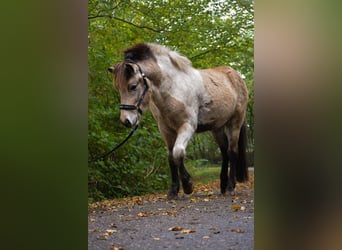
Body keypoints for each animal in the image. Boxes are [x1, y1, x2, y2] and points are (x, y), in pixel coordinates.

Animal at [109, 43, 248, 199]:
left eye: (133, 86)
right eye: (118, 89)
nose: (126, 120)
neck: (173, 88)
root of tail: (237, 76)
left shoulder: (187, 126)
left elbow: (178, 152)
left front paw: (188, 185)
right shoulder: (166, 130)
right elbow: (171, 158)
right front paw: (173, 191)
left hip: (235, 122)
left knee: (232, 152)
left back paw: (230, 187)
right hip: (217, 127)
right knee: (224, 152)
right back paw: (223, 185)